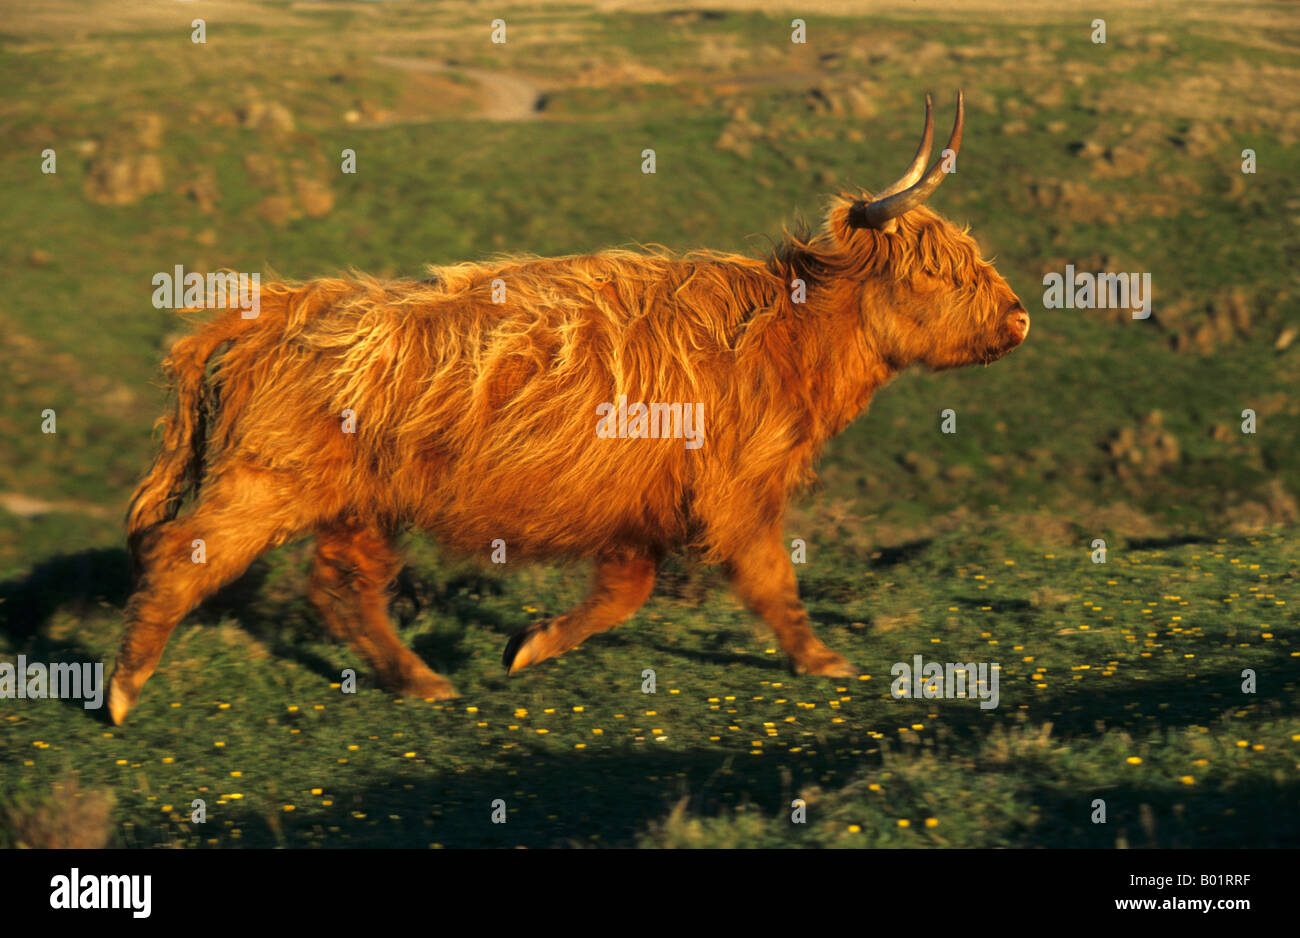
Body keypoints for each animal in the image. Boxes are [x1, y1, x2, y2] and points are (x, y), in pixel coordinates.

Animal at [108, 92, 1029, 724]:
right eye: (938, 271)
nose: (1021, 316)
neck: (787, 336)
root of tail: (289, 303)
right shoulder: (733, 492)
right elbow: (772, 581)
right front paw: (821, 659)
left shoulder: (639, 505)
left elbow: (625, 592)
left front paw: (529, 644)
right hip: (268, 482)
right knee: (182, 556)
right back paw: (121, 689)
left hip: (361, 501)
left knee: (342, 589)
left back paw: (422, 681)